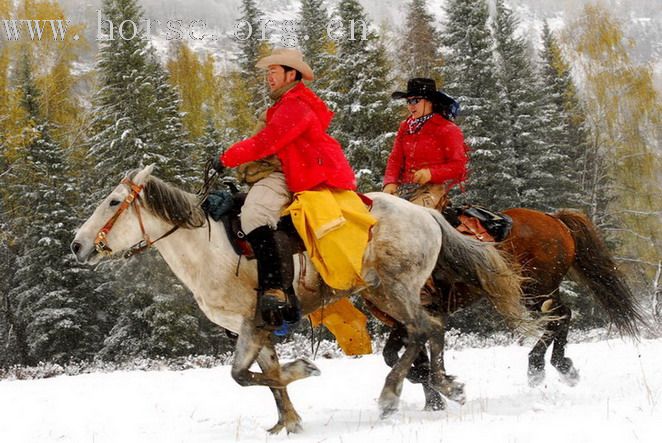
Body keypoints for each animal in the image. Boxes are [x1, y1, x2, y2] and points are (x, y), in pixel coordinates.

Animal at [70, 166, 532, 434]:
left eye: (113, 202)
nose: (77, 245)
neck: (208, 248)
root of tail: (426, 214)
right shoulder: (258, 328)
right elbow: (267, 375)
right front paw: (288, 420)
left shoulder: (252, 322)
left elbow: (242, 375)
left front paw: (304, 370)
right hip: (389, 292)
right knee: (432, 330)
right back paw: (447, 386)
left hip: (394, 289)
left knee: (424, 329)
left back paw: (392, 394)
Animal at [382, 208, 644, 412]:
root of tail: (555, 219)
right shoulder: (403, 323)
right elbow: (395, 355)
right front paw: (433, 400)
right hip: (540, 292)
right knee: (561, 315)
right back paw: (561, 366)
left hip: (535, 291)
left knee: (561, 316)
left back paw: (539, 365)